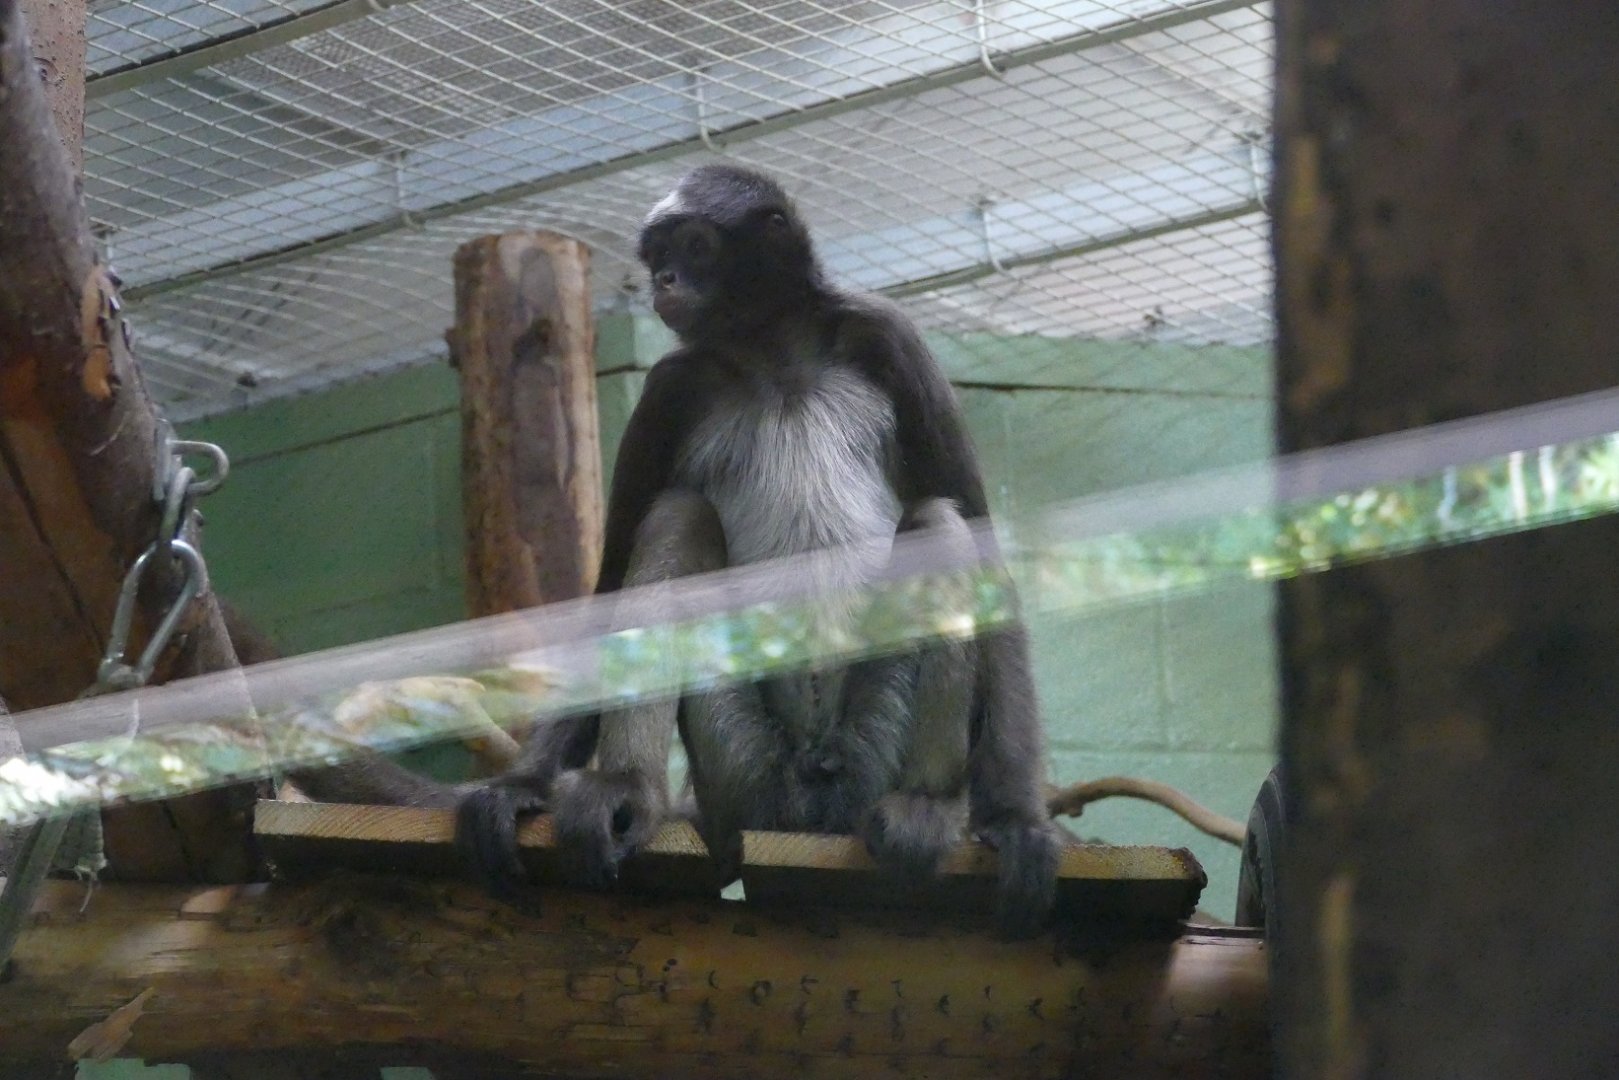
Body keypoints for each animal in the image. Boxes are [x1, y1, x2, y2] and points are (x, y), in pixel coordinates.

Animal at [455, 165, 1061, 938]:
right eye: (657, 255)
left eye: (692, 245)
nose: (663, 281)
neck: (775, 356)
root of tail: (806, 796)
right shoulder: (672, 383)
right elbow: (612, 578)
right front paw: (521, 784)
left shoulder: (886, 333)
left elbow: (986, 553)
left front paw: (1015, 820)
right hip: (738, 765)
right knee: (678, 514)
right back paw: (627, 789)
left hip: (870, 753)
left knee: (935, 522)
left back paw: (927, 808)